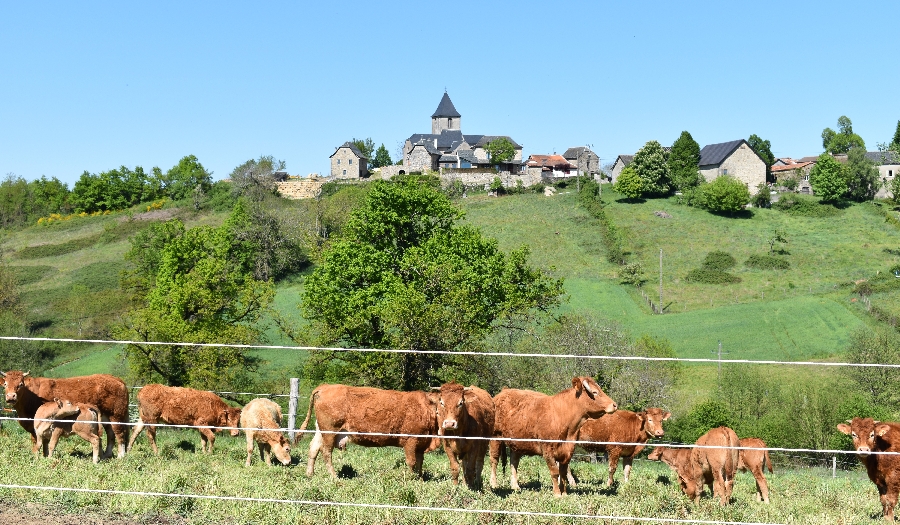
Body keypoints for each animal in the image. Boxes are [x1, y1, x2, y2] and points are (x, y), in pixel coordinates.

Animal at [0, 368, 130, 458]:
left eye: (20, 384)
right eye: (5, 384)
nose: (11, 396)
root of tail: (115, 378)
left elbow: (43, 442)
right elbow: (40, 442)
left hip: (117, 415)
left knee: (120, 434)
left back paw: (120, 456)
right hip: (106, 417)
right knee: (111, 434)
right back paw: (107, 455)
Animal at [298, 380, 440, 478]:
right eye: (441, 402)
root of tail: (325, 387)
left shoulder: (421, 443)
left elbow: (420, 463)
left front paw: (420, 479)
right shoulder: (410, 440)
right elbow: (412, 462)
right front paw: (411, 479)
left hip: (321, 430)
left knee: (313, 448)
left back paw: (310, 474)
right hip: (330, 431)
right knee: (326, 451)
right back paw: (334, 476)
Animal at [486, 374, 620, 494]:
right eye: (595, 392)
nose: (614, 404)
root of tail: (503, 392)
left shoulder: (568, 450)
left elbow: (563, 473)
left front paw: (564, 493)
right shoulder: (547, 450)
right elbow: (555, 472)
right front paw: (557, 494)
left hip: (517, 443)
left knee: (514, 462)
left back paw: (515, 486)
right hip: (495, 437)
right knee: (494, 460)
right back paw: (494, 483)